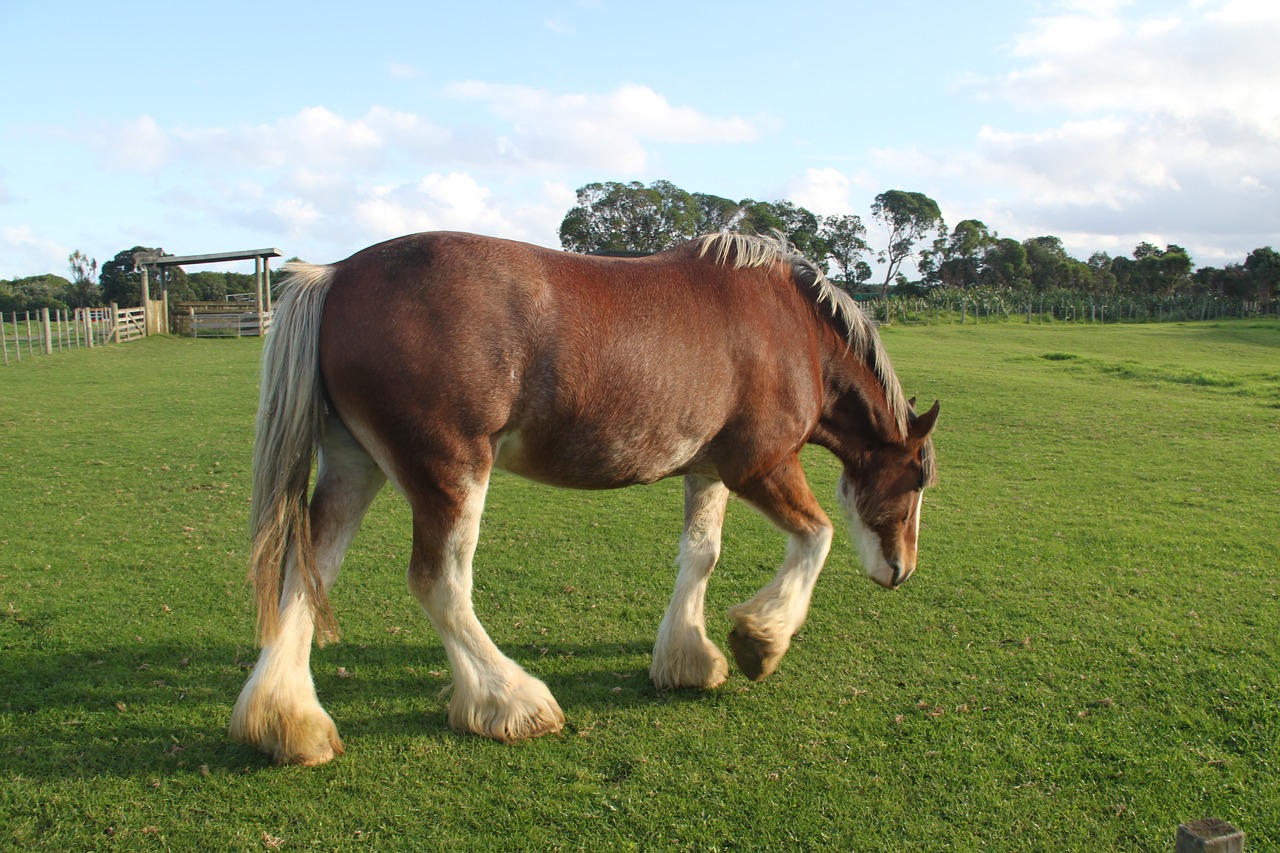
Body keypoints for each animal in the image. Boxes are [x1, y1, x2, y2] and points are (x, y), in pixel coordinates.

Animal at [230, 230, 936, 763]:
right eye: (918, 479)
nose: (901, 570)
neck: (793, 329)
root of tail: (336, 275)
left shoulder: (707, 470)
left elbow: (700, 556)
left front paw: (688, 658)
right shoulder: (759, 465)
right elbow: (817, 536)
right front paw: (760, 641)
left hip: (355, 465)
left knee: (308, 570)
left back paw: (288, 723)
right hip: (450, 471)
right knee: (439, 582)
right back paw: (511, 702)